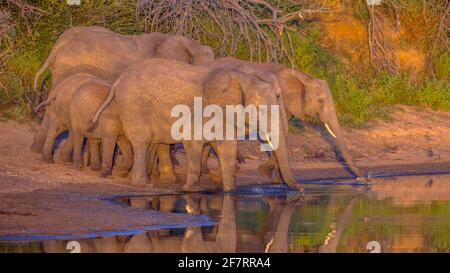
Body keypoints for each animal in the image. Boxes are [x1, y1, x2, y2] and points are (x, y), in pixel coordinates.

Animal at [88, 59, 300, 191]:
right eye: (261, 109)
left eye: (279, 97)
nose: (302, 190)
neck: (242, 76)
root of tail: (118, 81)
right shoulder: (203, 110)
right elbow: (194, 140)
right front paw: (192, 188)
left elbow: (226, 146)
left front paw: (227, 189)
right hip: (134, 106)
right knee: (141, 141)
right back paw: (142, 184)